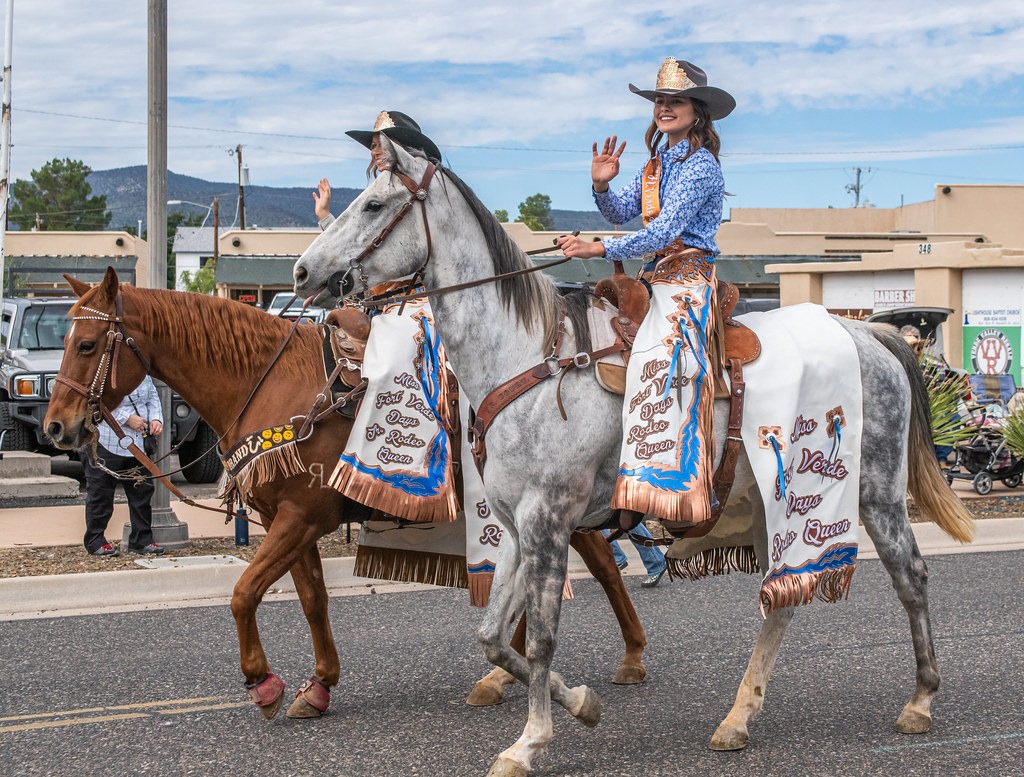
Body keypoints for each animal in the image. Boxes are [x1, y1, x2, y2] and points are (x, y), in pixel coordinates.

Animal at [44, 270, 643, 720]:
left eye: (88, 344)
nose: (56, 428)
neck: (273, 384)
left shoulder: (302, 517)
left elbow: (243, 592)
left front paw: (262, 682)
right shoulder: (285, 520)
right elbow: (312, 599)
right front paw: (318, 686)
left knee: (603, 567)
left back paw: (627, 658)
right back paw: (506, 675)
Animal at [294, 140, 974, 777]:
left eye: (373, 204)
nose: (303, 272)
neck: (530, 359)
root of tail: (871, 333)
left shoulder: (548, 524)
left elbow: (540, 640)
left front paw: (529, 743)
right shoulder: (517, 528)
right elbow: (492, 638)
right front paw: (581, 704)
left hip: (875, 493)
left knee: (910, 576)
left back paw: (920, 701)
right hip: (773, 507)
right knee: (780, 600)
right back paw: (738, 718)